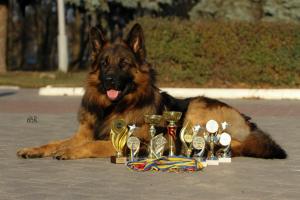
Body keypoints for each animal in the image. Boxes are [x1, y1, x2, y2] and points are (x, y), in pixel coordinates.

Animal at [17, 23, 286, 159]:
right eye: (104, 64)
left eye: (123, 64)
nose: (110, 80)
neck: (115, 107)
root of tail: (248, 120)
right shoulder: (85, 132)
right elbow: (56, 141)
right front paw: (36, 149)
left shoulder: (130, 142)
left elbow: (91, 145)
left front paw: (68, 151)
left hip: (197, 107)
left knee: (235, 143)